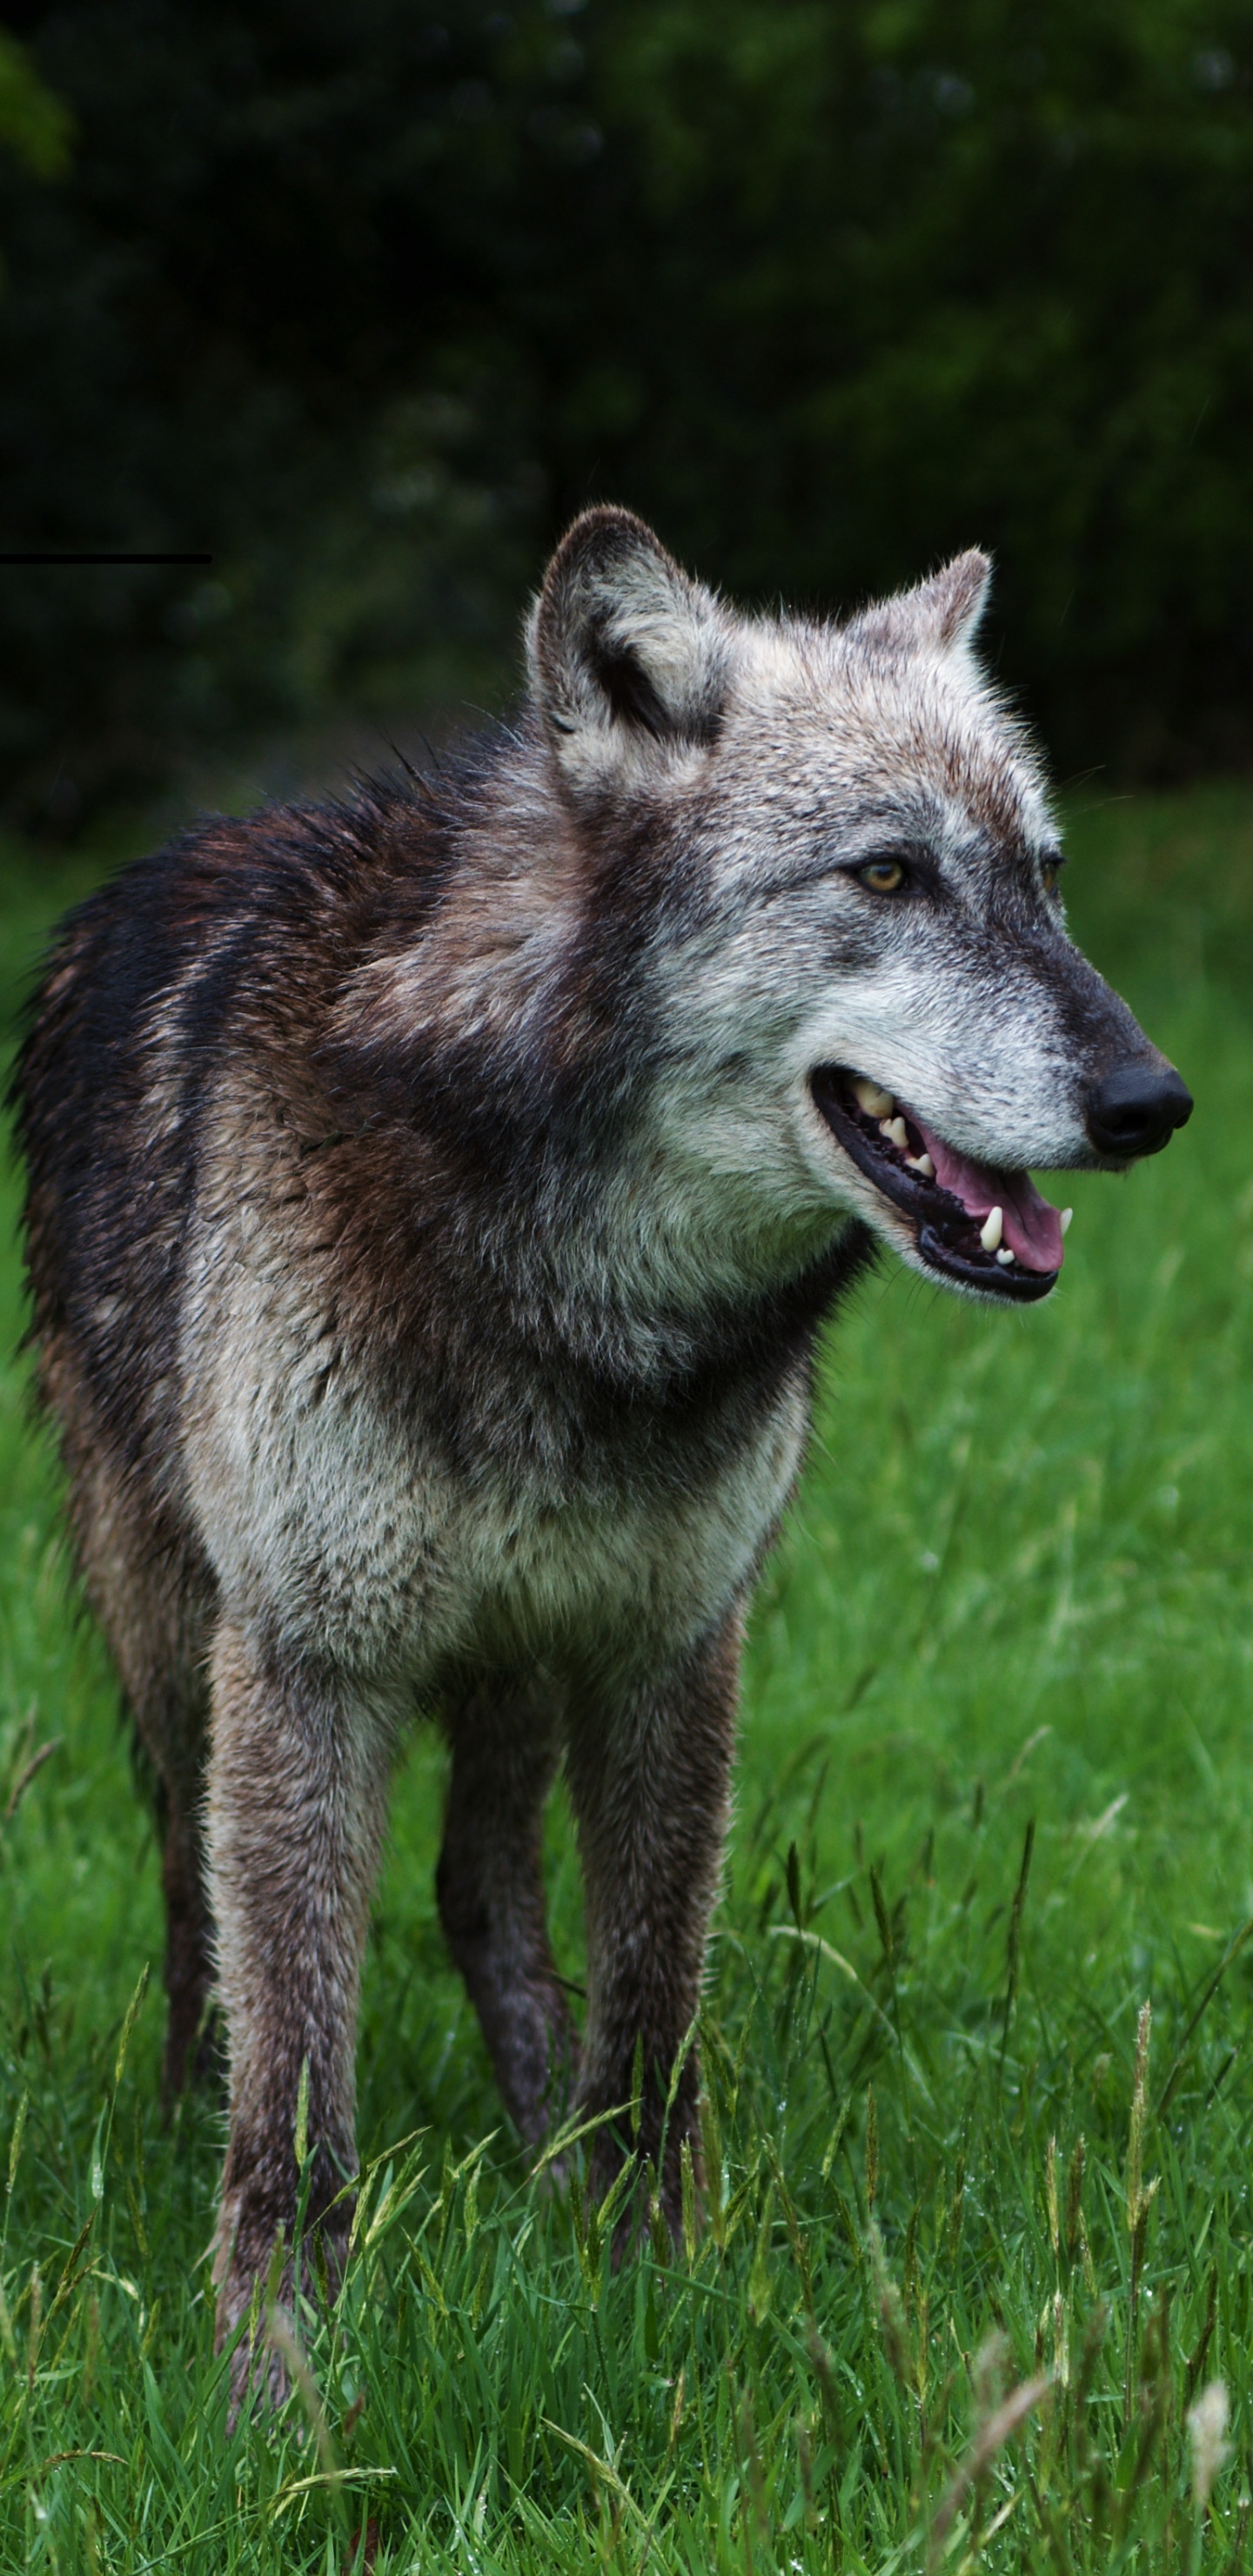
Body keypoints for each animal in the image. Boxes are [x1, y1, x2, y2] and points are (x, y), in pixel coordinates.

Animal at [13, 507, 1190, 2390]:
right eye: (887, 877)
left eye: (1048, 878)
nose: (1154, 1100)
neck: (577, 1309)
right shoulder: (312, 1658)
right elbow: (300, 2074)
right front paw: (274, 2374)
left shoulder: (666, 1644)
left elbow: (650, 2005)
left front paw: (641, 2275)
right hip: (167, 1631)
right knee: (202, 1923)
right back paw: (200, 2120)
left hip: (506, 1653)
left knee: (478, 1892)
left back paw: (537, 2139)